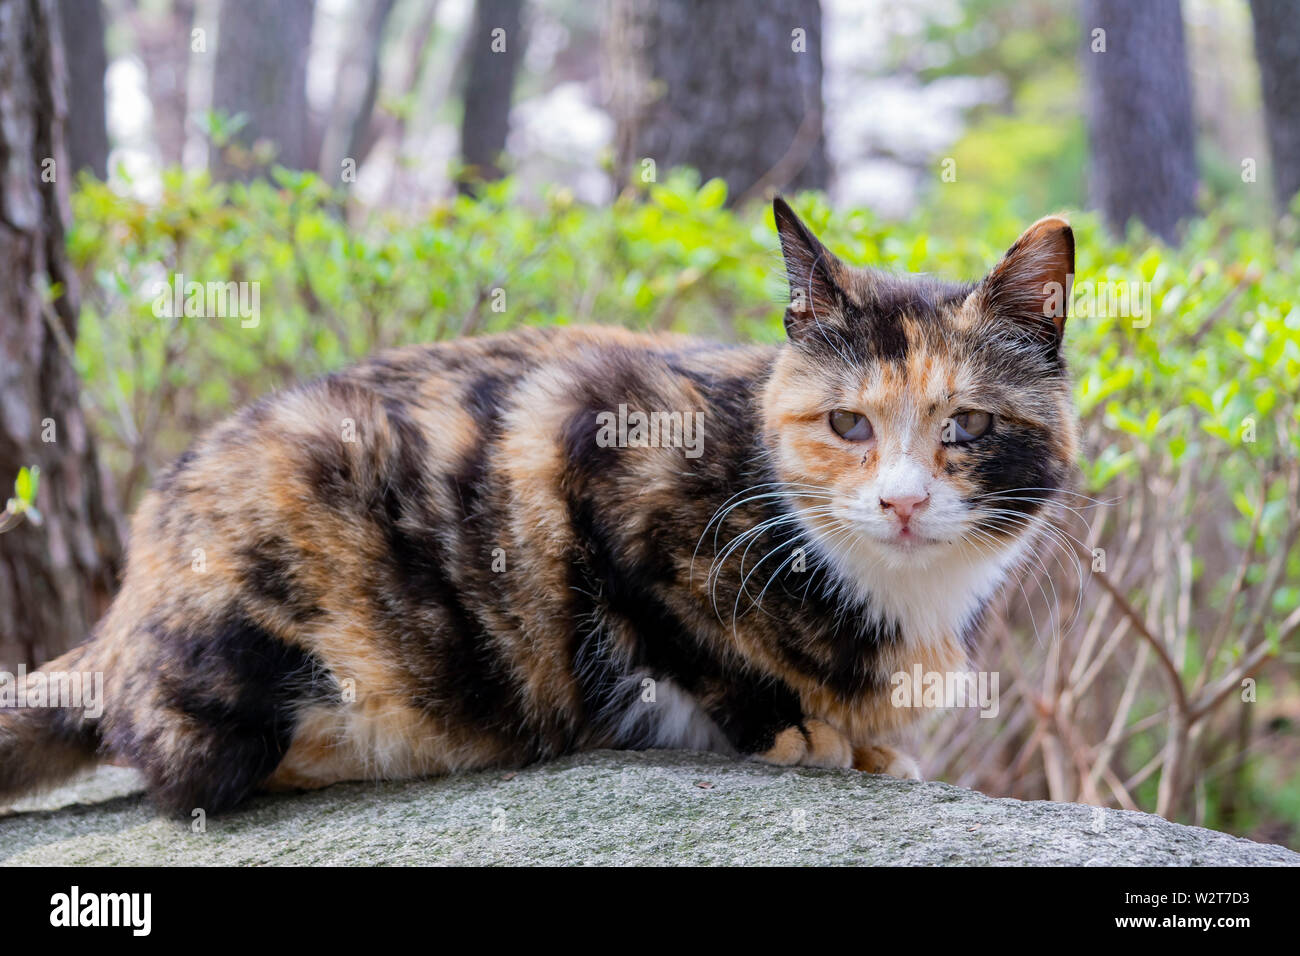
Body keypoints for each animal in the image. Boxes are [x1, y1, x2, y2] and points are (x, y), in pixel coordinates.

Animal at [0, 201, 1076, 816]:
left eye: (967, 425)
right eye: (848, 422)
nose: (902, 500)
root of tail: (120, 612)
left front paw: (869, 742)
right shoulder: (589, 452)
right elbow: (688, 637)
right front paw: (801, 733)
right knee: (181, 769)